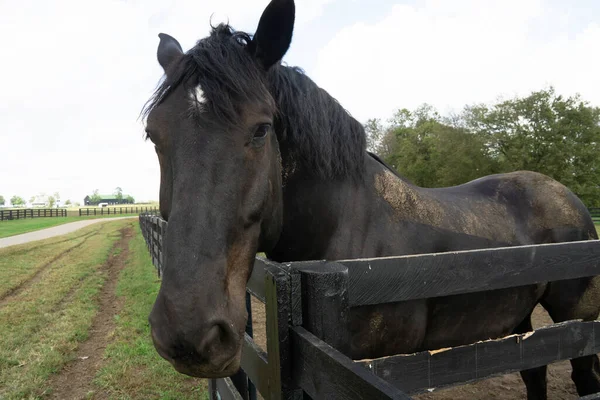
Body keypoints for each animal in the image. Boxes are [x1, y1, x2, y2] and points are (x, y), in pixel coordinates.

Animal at [143, 0, 600, 396]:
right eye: (153, 135)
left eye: (260, 129)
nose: (189, 333)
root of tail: (567, 197)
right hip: (520, 322)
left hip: (577, 321)